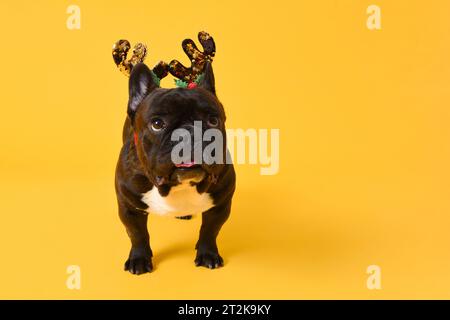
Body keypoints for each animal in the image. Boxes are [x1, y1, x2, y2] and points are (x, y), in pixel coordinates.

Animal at [115, 61, 236, 274]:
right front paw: (139, 259)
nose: (189, 134)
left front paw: (208, 254)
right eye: (157, 124)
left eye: (213, 121)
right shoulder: (129, 207)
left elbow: (210, 231)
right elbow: (137, 234)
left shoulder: (220, 204)